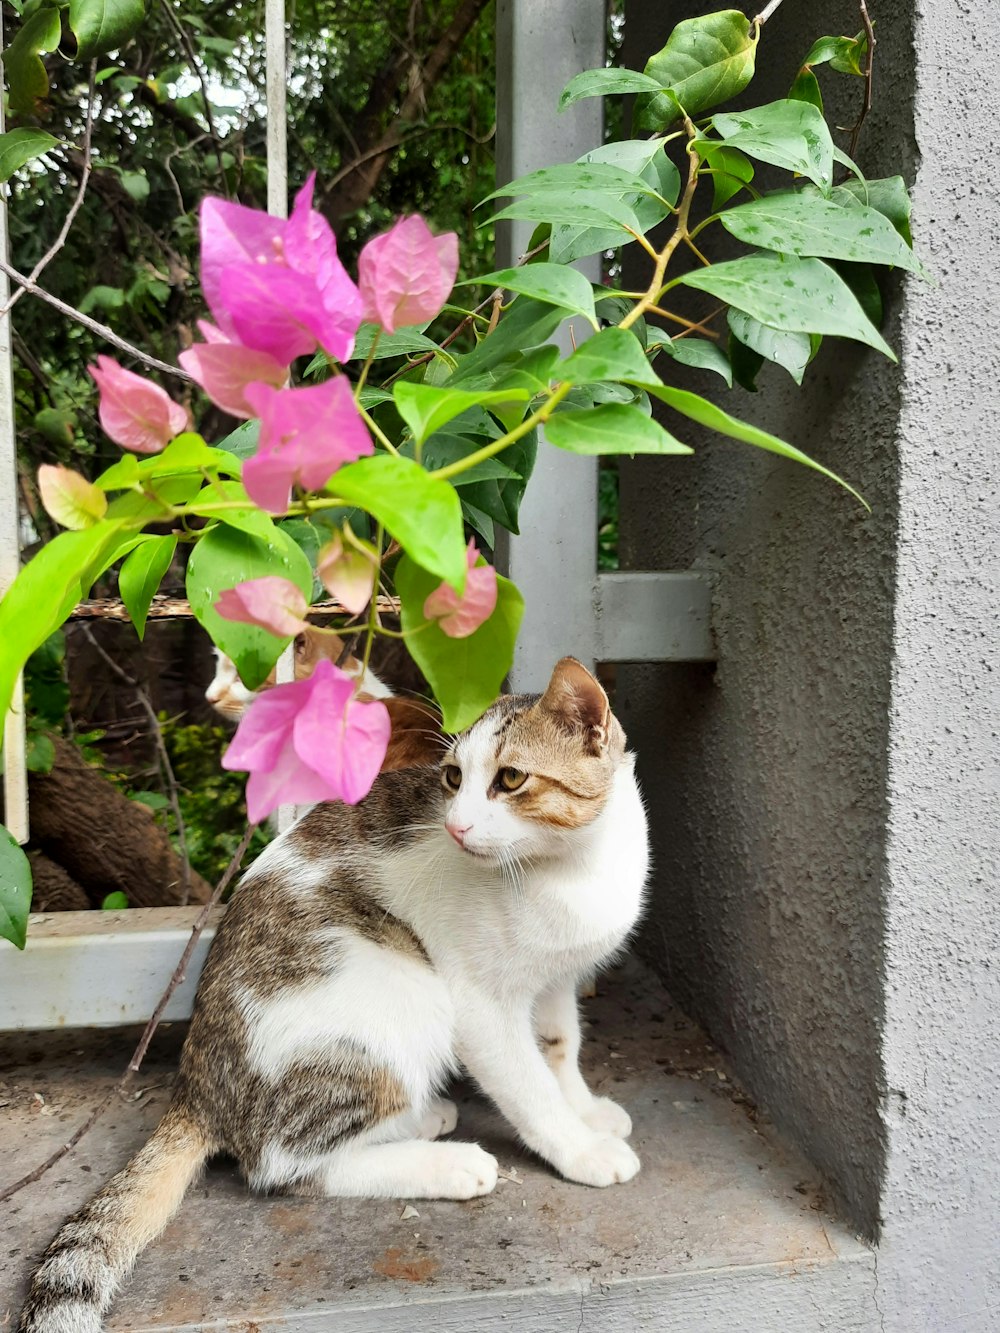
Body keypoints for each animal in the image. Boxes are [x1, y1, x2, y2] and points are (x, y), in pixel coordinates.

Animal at [23, 655, 653, 1333]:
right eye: (453, 777)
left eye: (510, 779)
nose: (455, 826)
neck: (575, 868)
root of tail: (196, 1083)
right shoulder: (481, 1003)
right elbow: (530, 1088)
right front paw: (580, 1150)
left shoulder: (557, 976)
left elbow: (560, 1047)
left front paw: (585, 1111)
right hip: (404, 987)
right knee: (281, 1166)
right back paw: (447, 1163)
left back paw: (421, 1118)